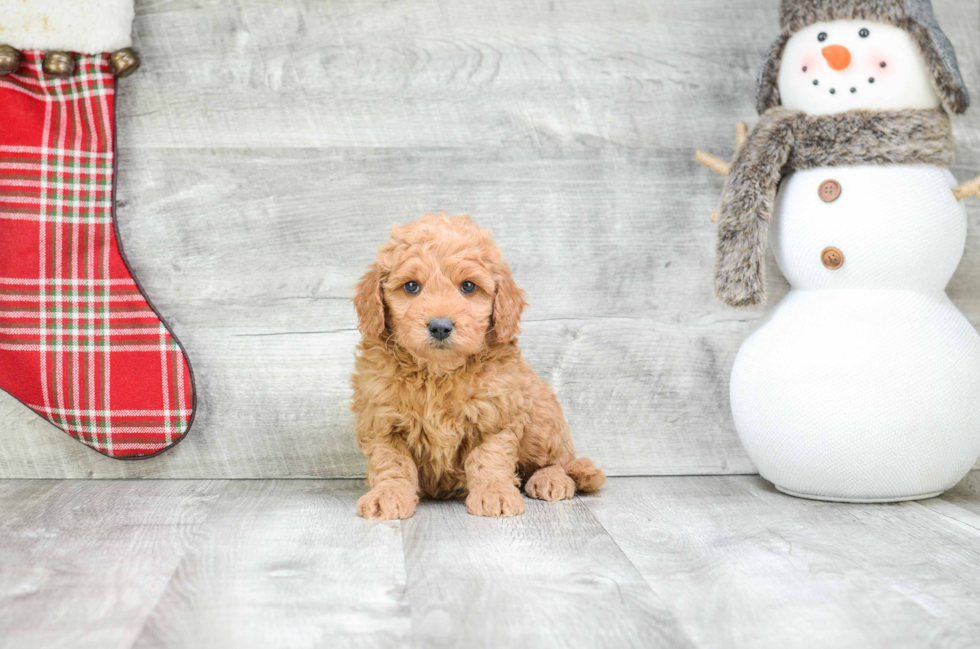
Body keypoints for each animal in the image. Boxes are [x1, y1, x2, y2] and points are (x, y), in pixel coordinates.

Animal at [348, 215, 600, 520]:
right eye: (411, 286)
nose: (440, 326)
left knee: (558, 461)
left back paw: (550, 479)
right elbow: (391, 463)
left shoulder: (497, 414)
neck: (437, 373)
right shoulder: (381, 420)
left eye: (468, 286)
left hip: (541, 417)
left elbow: (489, 458)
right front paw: (388, 494)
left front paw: (494, 493)